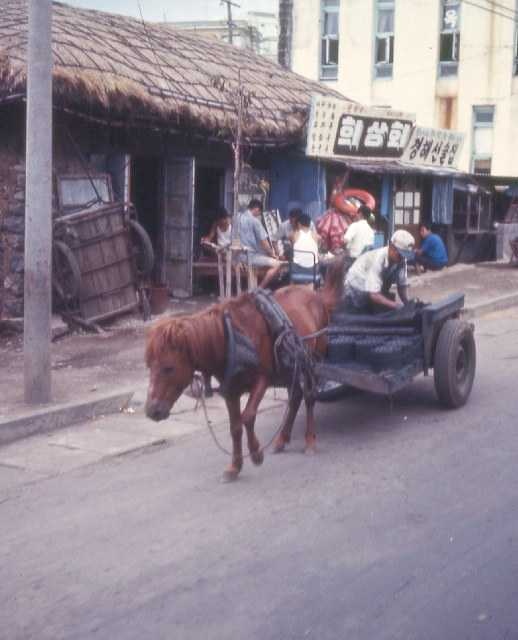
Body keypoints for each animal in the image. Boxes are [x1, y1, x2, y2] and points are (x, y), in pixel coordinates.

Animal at [145, 256, 346, 480]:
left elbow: (248, 416)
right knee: (295, 398)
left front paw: (256, 453)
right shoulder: (231, 390)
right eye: (149, 365)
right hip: (289, 368)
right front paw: (235, 466)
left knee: (309, 397)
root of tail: (317, 296)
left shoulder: (262, 379)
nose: (152, 411)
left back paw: (310, 440)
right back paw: (282, 439)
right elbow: (235, 426)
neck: (231, 336)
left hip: (313, 362)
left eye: (169, 368)